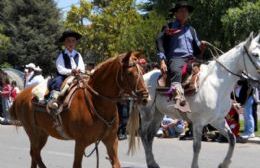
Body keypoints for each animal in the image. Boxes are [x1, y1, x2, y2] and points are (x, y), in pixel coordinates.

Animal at [9, 51, 148, 168]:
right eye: (130, 73)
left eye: (143, 70)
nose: (145, 97)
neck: (95, 102)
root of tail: (21, 95)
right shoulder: (80, 142)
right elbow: (77, 165)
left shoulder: (111, 140)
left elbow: (116, 164)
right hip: (33, 132)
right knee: (35, 153)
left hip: (42, 133)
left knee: (34, 154)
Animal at [127, 33, 260, 168]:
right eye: (255, 54)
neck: (216, 84)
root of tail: (143, 77)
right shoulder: (198, 122)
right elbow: (197, 146)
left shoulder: (218, 120)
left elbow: (232, 139)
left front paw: (224, 163)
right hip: (147, 113)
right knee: (143, 135)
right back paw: (150, 162)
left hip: (158, 115)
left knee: (150, 137)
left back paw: (153, 163)